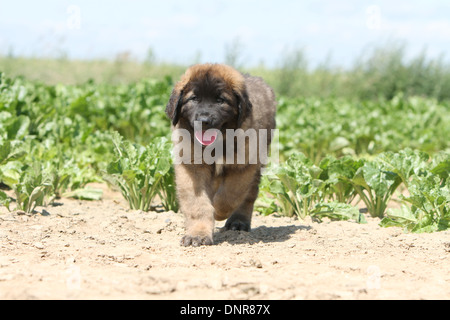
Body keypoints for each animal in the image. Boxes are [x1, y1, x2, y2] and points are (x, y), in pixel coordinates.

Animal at [166, 63, 276, 246]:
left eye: (220, 100)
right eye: (194, 98)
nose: (204, 120)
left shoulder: (243, 166)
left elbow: (229, 195)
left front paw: (217, 210)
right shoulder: (191, 167)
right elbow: (198, 204)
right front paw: (198, 234)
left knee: (249, 195)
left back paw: (238, 222)